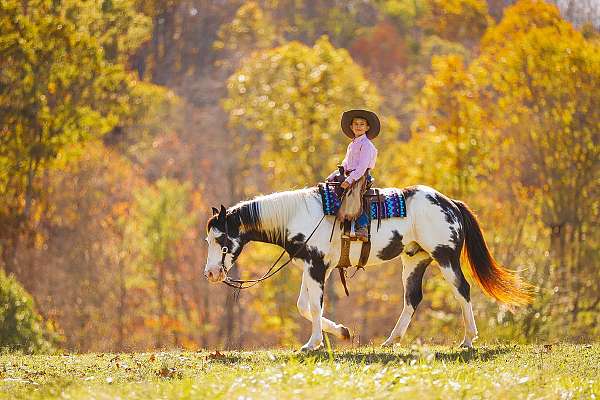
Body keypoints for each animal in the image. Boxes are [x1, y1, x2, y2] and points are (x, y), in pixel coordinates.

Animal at [204, 184, 532, 350]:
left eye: (220, 238)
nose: (211, 273)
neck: (297, 216)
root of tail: (450, 202)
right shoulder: (313, 266)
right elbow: (304, 306)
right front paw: (342, 332)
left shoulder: (316, 266)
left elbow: (315, 306)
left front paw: (313, 344)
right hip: (414, 259)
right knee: (412, 299)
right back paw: (391, 340)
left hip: (446, 257)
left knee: (462, 290)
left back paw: (468, 340)